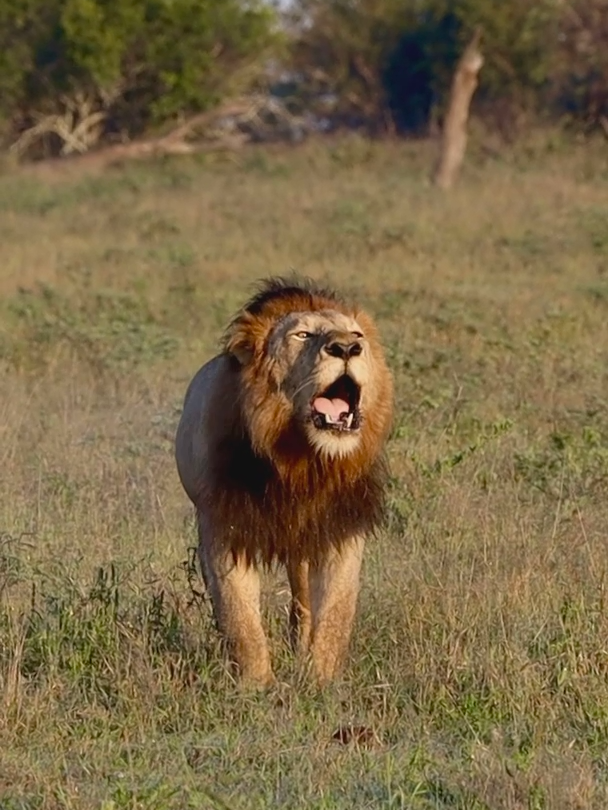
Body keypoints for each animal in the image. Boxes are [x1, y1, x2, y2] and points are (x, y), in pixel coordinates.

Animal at [176, 276, 394, 680]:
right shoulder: (225, 528)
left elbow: (336, 612)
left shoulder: (340, 529)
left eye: (357, 334)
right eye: (302, 334)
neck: (304, 463)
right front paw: (256, 684)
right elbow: (241, 620)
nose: (347, 347)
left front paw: (320, 679)